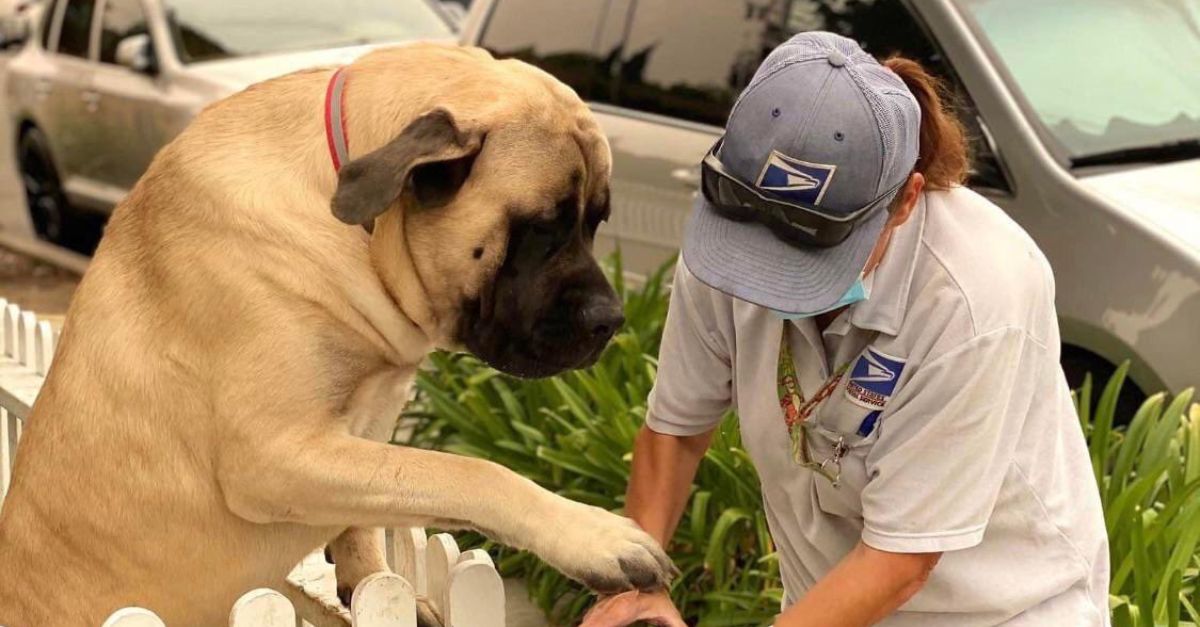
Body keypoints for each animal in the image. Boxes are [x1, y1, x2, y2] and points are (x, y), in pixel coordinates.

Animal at [0, 41, 676, 619]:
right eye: (541, 227)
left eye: (596, 221)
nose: (612, 320)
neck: (359, 231)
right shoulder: (273, 452)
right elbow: (464, 472)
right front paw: (594, 535)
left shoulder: (365, 426)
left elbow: (384, 504)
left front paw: (370, 581)